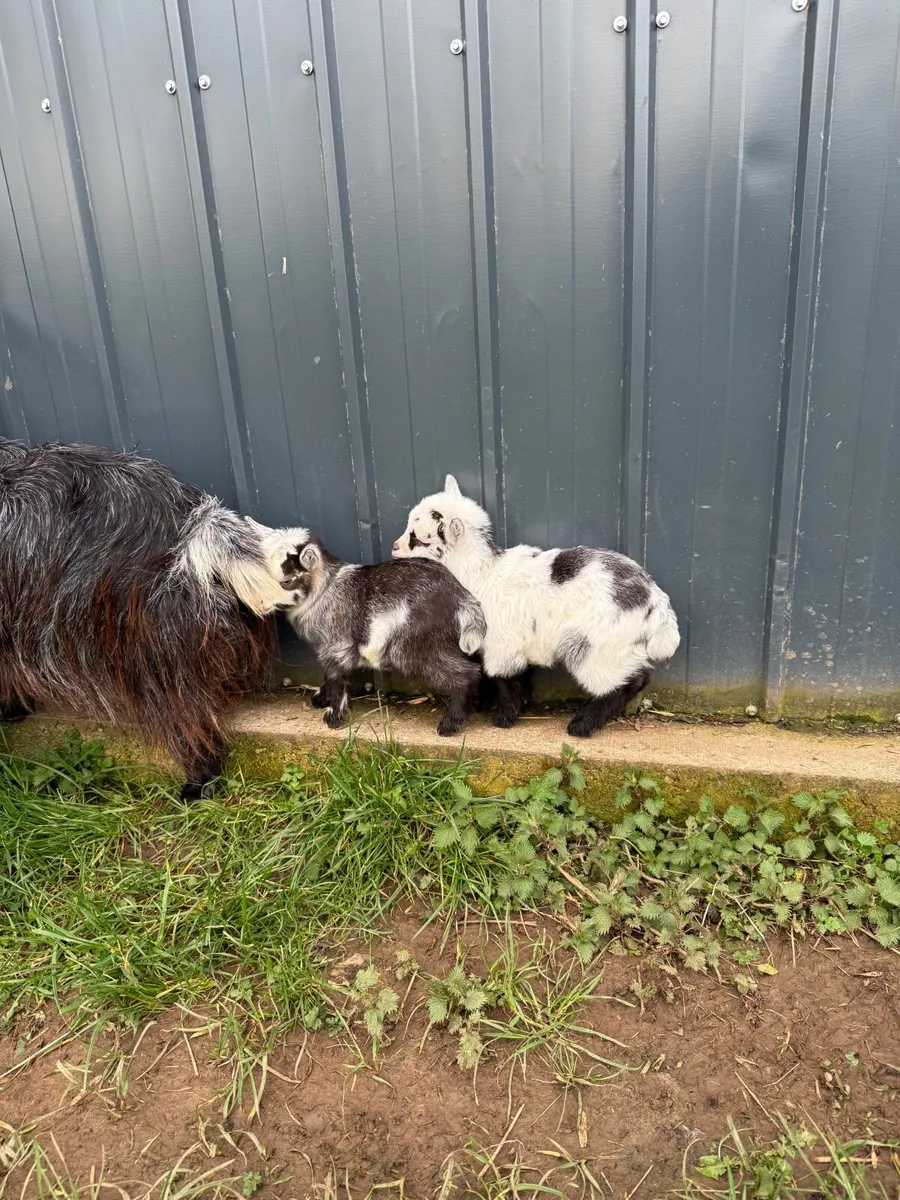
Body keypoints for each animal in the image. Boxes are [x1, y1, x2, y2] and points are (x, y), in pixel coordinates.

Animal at [272, 530, 485, 736]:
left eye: (286, 581)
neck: (325, 590)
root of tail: (462, 598)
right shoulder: (327, 648)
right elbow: (328, 673)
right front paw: (320, 698)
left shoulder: (337, 645)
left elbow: (336, 677)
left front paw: (333, 717)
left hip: (413, 647)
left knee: (467, 674)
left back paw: (451, 723)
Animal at [391, 475, 680, 737]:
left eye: (419, 539)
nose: (394, 547)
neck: (481, 572)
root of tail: (656, 602)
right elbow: (518, 675)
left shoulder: (501, 643)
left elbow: (502, 678)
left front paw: (504, 718)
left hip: (597, 646)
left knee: (628, 680)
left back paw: (582, 724)